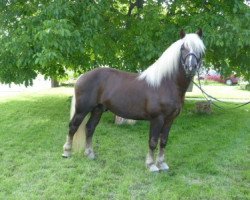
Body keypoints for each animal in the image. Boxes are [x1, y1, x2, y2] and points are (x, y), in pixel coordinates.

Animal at [63, 29, 205, 172]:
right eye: (183, 48)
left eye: (200, 49)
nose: (191, 68)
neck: (166, 84)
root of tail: (82, 76)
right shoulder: (157, 119)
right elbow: (153, 141)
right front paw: (151, 165)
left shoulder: (170, 120)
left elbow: (164, 141)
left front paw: (162, 164)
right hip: (82, 110)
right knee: (73, 126)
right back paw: (67, 152)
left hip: (97, 110)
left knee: (90, 128)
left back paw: (90, 154)